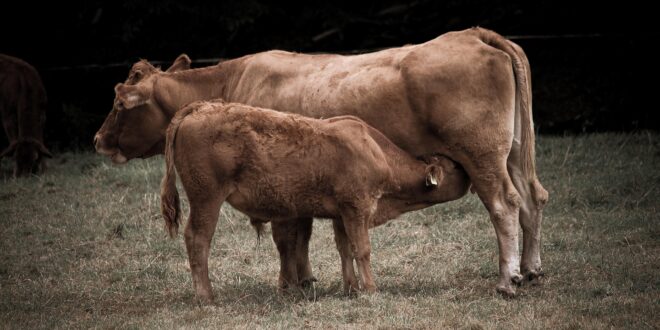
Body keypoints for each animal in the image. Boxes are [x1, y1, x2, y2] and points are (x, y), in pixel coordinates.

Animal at [159, 100, 470, 302]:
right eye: (453, 167)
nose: (467, 172)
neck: (375, 151)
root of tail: (199, 107)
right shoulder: (357, 209)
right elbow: (362, 250)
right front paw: (370, 289)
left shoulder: (341, 216)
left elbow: (345, 250)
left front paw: (351, 288)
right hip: (206, 200)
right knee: (198, 238)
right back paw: (207, 296)